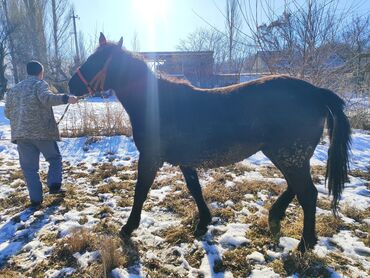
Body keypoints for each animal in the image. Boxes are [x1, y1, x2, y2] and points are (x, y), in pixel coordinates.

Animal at [68, 32, 352, 252]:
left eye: (97, 61)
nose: (70, 85)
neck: (158, 104)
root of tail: (316, 92)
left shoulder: (150, 158)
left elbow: (140, 192)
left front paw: (127, 228)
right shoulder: (184, 160)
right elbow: (195, 189)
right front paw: (204, 221)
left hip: (289, 155)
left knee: (308, 194)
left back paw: (305, 243)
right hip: (288, 155)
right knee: (297, 187)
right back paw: (275, 218)